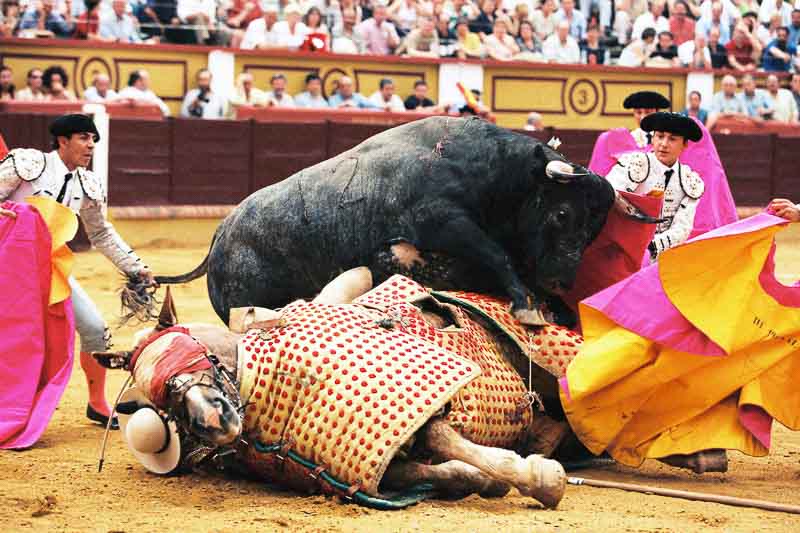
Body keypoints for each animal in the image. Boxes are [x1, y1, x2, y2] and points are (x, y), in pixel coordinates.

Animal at [153, 116, 657, 327]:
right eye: (561, 213)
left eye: (594, 232)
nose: (562, 280)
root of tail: (220, 237)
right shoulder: (445, 221)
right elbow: (498, 256)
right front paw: (527, 305)